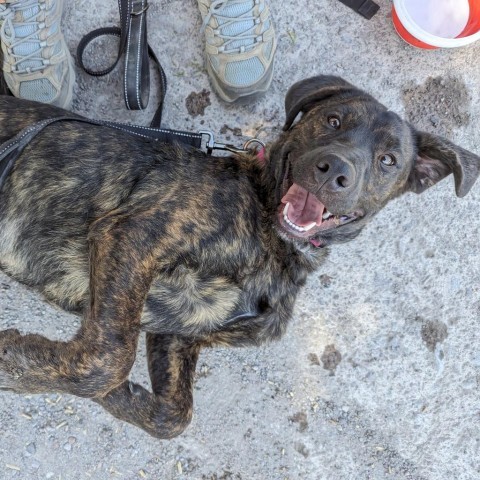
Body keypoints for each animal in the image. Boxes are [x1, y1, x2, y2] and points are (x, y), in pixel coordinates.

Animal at [0, 76, 478, 438]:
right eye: (333, 120)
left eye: (388, 160)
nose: (334, 170)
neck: (275, 241)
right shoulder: (132, 235)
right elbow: (109, 358)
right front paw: (19, 365)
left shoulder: (180, 329)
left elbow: (173, 415)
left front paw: (121, 397)